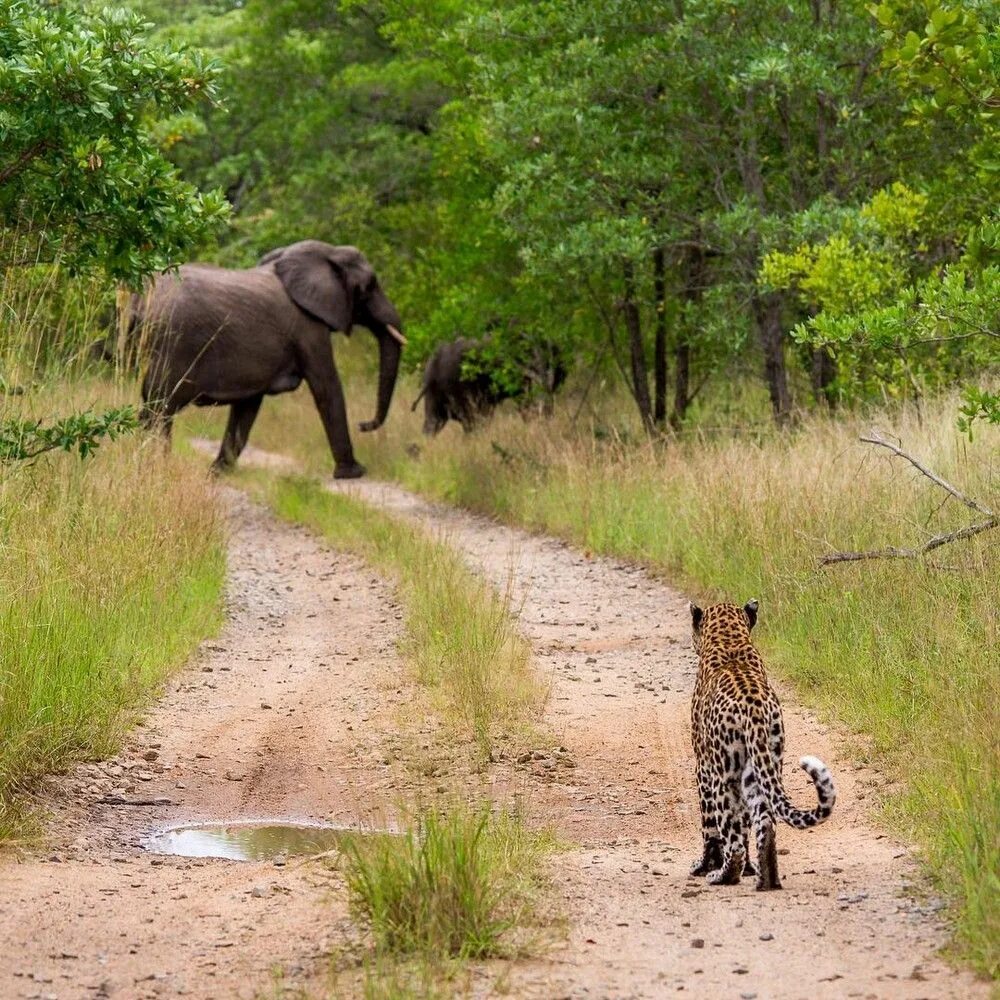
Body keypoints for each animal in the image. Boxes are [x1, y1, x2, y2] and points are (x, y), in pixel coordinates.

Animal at [133, 240, 406, 478]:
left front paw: (217, 473)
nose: (364, 424)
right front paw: (353, 473)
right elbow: (327, 387)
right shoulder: (308, 328)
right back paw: (156, 467)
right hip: (173, 346)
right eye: (370, 286)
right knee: (160, 410)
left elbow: (247, 407)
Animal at [688, 600, 836, 892]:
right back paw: (766, 879)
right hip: (762, 766)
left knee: (733, 838)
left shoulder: (703, 767)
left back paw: (724, 875)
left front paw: (704, 865)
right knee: (765, 822)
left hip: (725, 776)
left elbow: (709, 826)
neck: (729, 639)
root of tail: (753, 708)